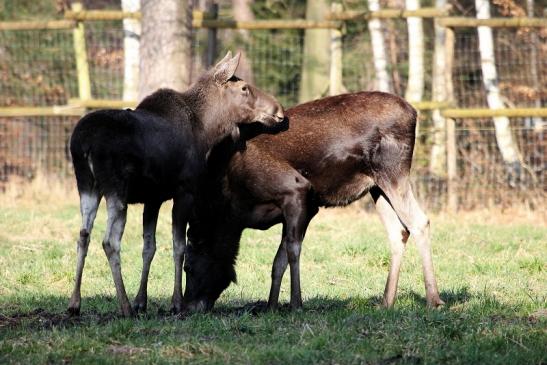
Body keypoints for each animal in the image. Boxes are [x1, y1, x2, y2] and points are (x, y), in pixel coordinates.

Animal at [67, 52, 286, 318]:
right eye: (244, 88)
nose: (279, 110)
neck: (207, 132)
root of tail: (83, 144)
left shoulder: (153, 198)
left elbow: (149, 247)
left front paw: (142, 301)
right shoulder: (185, 191)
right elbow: (178, 247)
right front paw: (175, 302)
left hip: (87, 186)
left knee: (83, 235)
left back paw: (74, 303)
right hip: (115, 190)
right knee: (109, 241)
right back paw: (124, 306)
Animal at [184, 91, 446, 310]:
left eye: (188, 267)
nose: (184, 308)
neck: (235, 210)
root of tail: (414, 113)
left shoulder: (297, 191)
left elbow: (292, 252)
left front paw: (296, 304)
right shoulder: (303, 208)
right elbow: (278, 261)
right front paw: (271, 306)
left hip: (393, 171)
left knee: (419, 222)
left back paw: (434, 300)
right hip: (376, 186)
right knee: (398, 231)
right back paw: (386, 301)